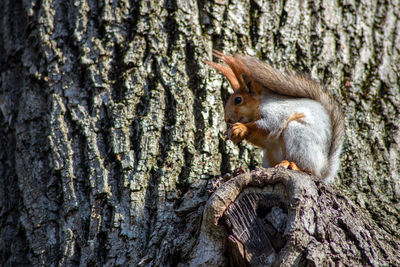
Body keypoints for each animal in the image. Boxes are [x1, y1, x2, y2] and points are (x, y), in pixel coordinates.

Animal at [205, 50, 346, 184]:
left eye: (238, 100)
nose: (227, 119)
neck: (259, 103)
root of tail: (323, 169)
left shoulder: (275, 112)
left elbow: (268, 125)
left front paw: (241, 128)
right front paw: (231, 133)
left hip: (299, 136)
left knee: (308, 169)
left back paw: (292, 165)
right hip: (270, 155)